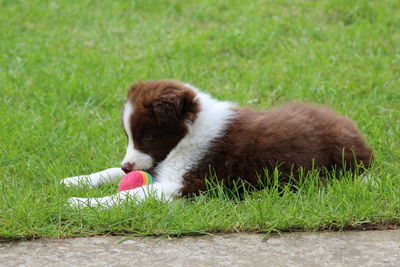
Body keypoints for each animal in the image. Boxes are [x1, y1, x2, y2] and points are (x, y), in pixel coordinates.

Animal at [61, 80, 374, 208]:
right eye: (128, 137)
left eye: (148, 136)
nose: (128, 168)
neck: (188, 135)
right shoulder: (155, 163)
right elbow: (112, 172)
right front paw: (74, 182)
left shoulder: (189, 183)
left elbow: (132, 194)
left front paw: (80, 203)